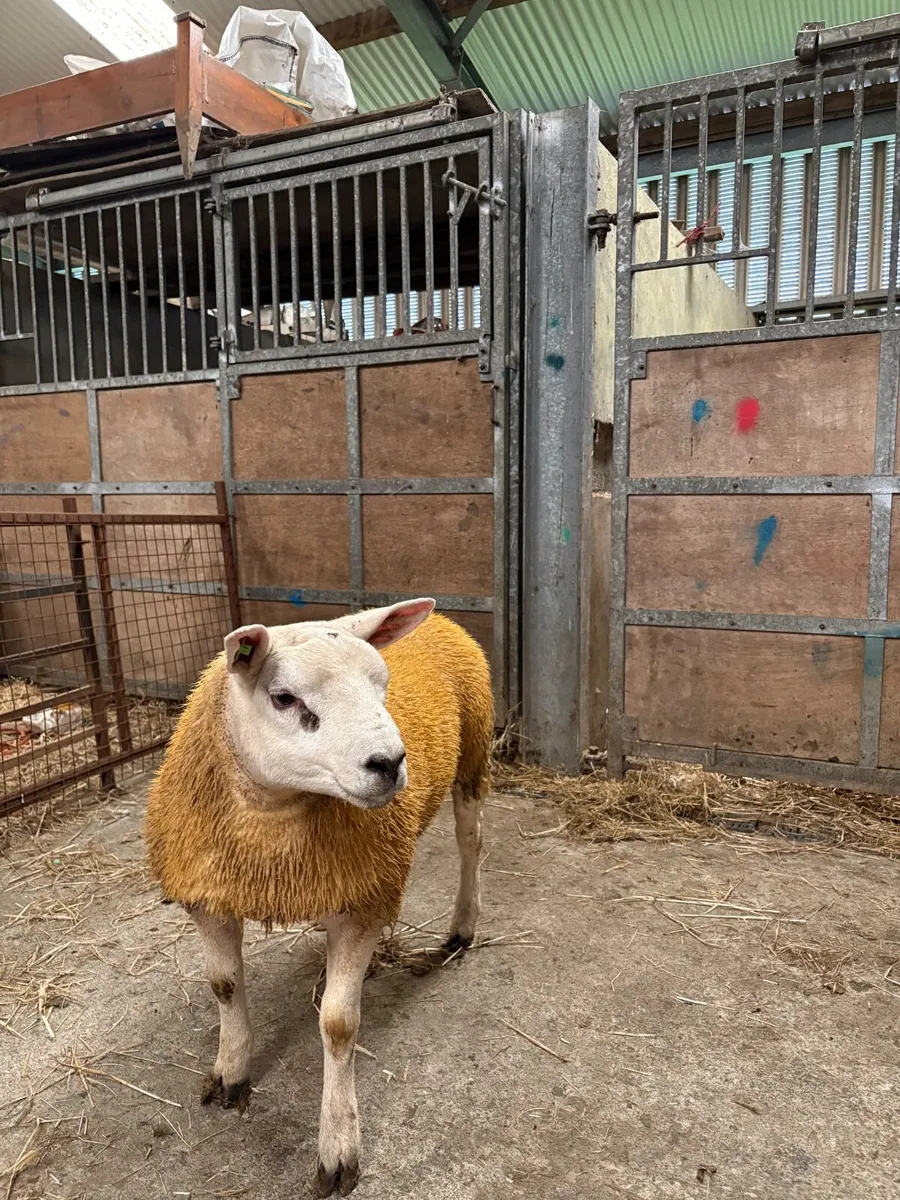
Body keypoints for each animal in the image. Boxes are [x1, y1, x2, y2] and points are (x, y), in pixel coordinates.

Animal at [144, 598, 493, 1196]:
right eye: (284, 697)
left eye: (383, 685)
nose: (389, 763)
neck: (270, 815)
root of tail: (445, 619)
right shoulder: (210, 893)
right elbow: (224, 983)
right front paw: (231, 1071)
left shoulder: (359, 902)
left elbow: (337, 1024)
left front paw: (338, 1146)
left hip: (473, 749)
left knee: (468, 842)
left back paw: (460, 930)